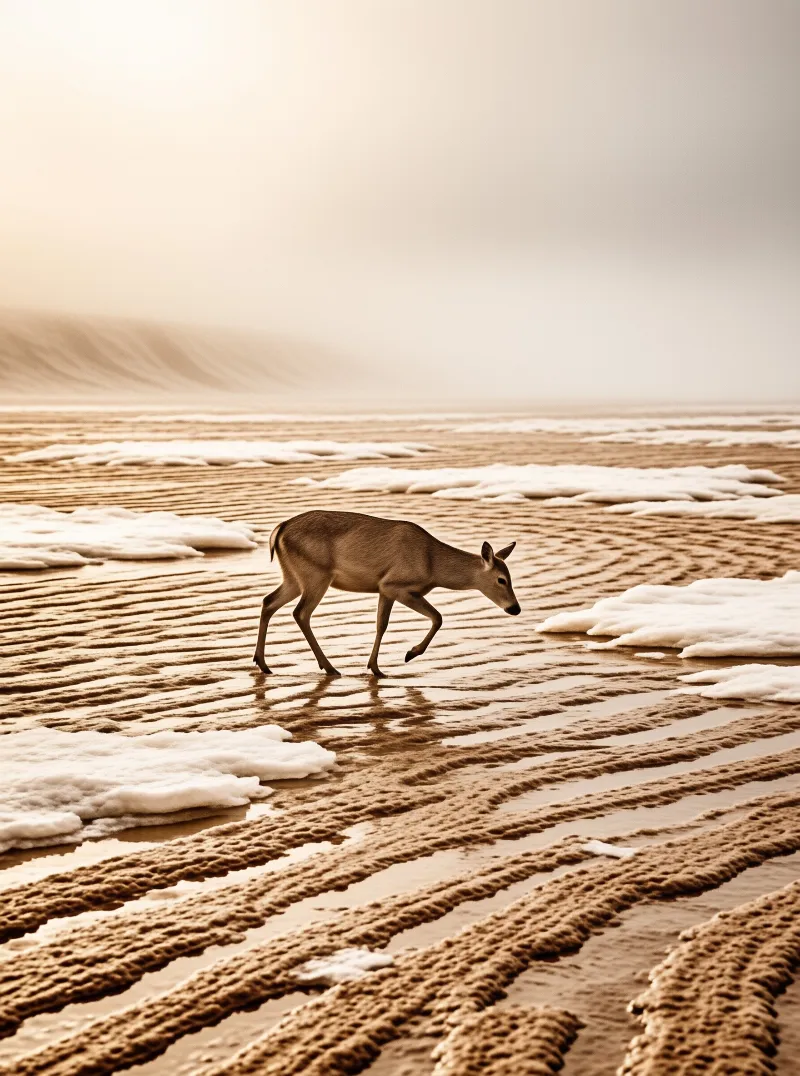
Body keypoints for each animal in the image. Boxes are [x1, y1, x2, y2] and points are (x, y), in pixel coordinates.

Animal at [253, 510, 520, 678]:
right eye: (501, 579)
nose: (515, 608)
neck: (432, 566)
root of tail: (279, 530)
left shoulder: (385, 589)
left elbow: (381, 624)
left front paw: (374, 667)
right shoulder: (394, 585)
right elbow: (438, 617)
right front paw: (409, 654)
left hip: (293, 576)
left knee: (268, 601)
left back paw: (263, 663)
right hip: (316, 575)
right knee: (300, 612)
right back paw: (329, 667)